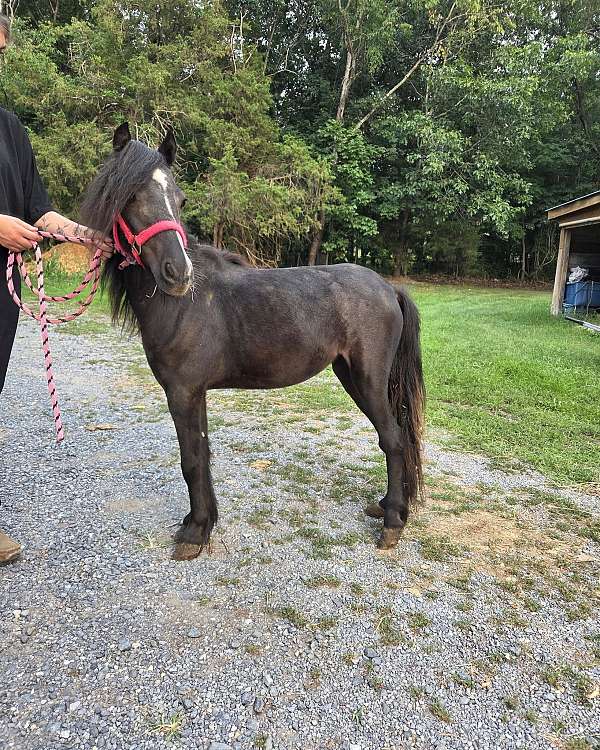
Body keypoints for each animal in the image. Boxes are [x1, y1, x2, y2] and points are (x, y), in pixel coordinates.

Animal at [80, 123, 425, 561]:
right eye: (131, 197)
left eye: (180, 198)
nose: (178, 274)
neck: (185, 305)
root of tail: (387, 287)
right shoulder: (195, 393)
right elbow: (202, 455)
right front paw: (202, 523)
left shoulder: (181, 391)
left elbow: (190, 460)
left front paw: (194, 533)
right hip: (351, 377)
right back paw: (386, 507)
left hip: (368, 380)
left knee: (393, 440)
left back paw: (393, 521)